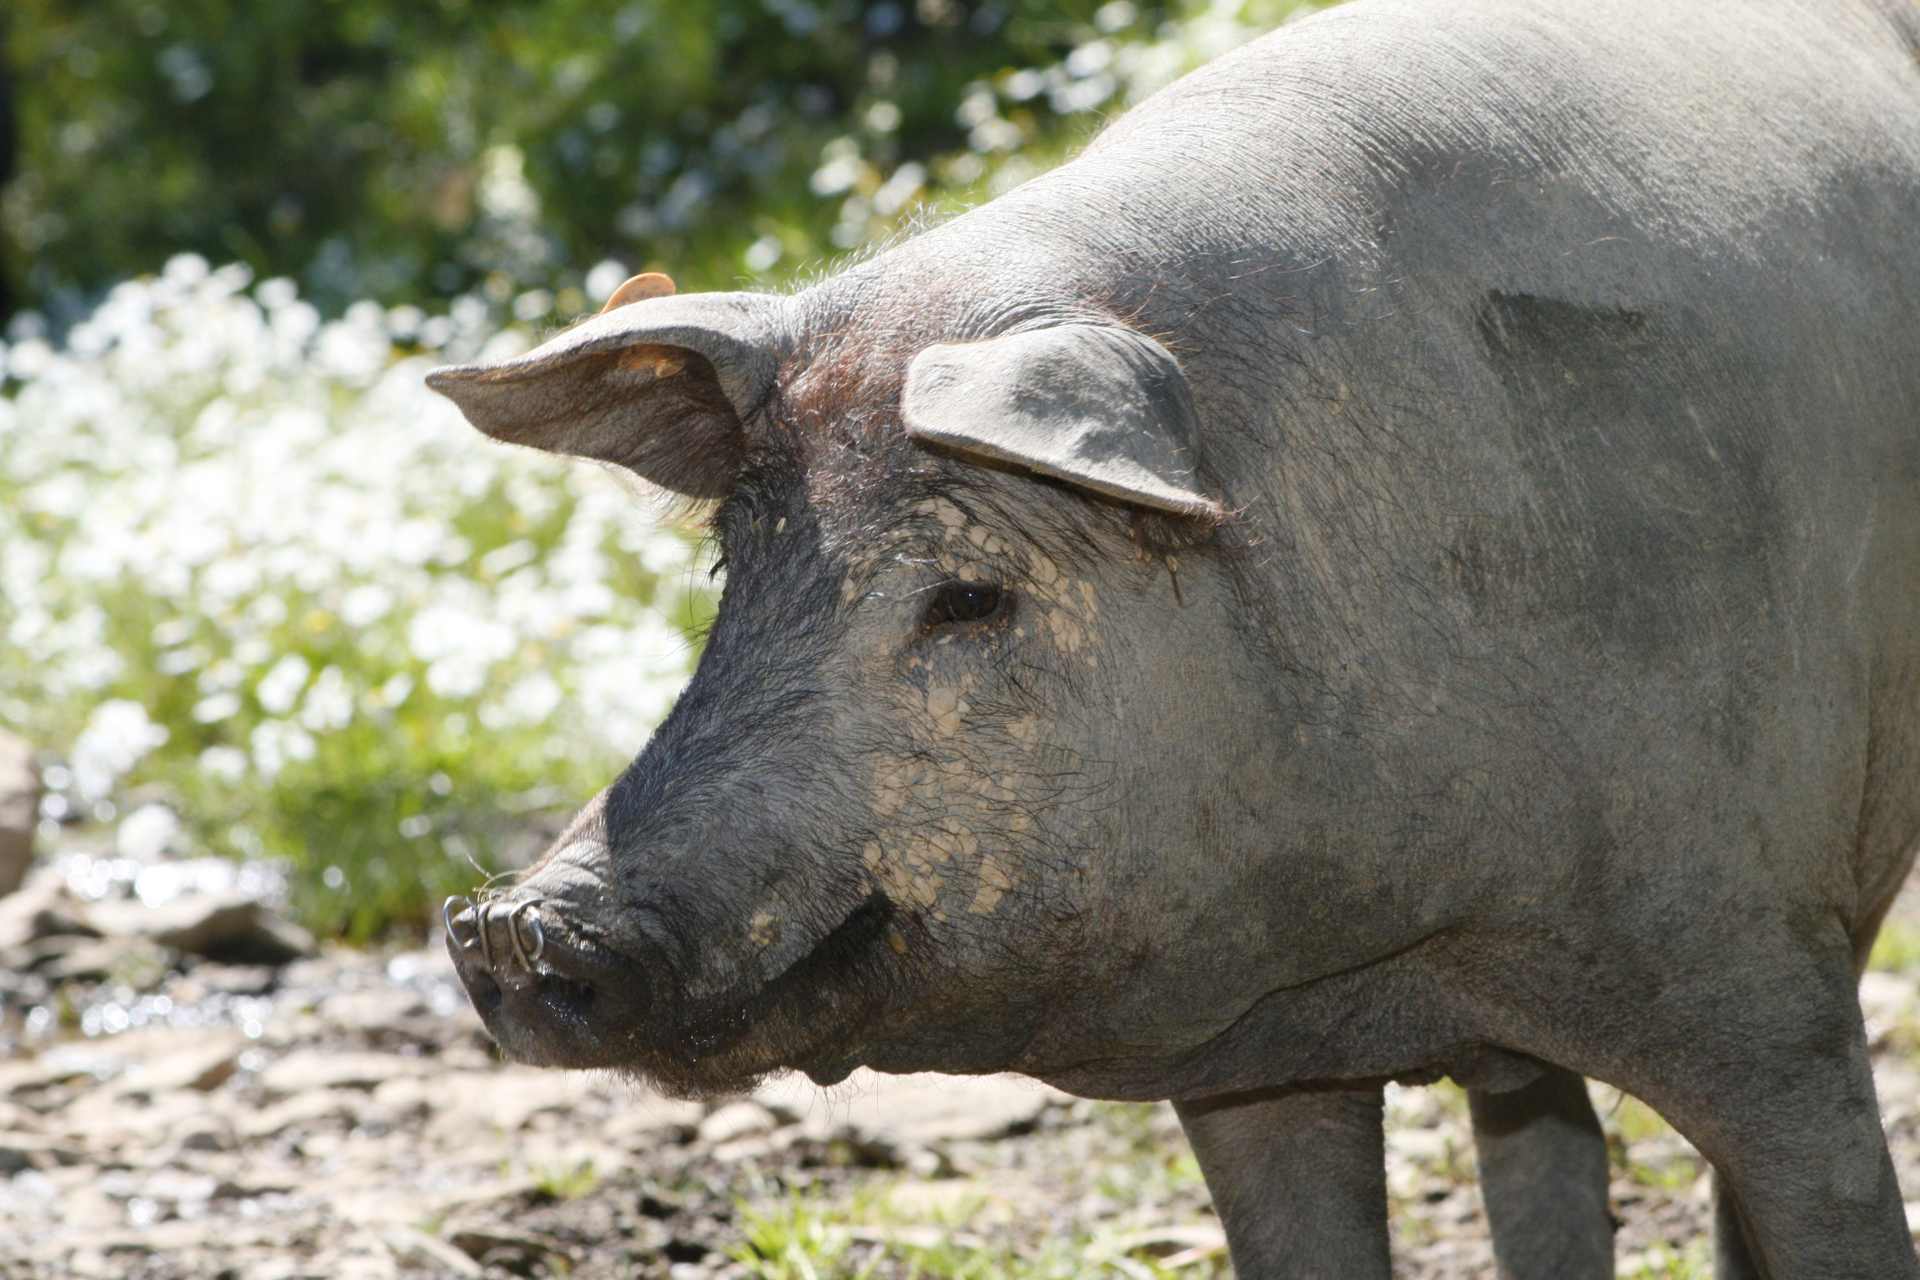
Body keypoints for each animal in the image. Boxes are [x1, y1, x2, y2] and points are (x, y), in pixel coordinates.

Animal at [427, 0, 1920, 1275]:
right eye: (733, 569)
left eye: (969, 598)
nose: (512, 921)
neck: (1405, 948)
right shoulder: (1251, 1062)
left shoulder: (1757, 956)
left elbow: (1829, 1201)